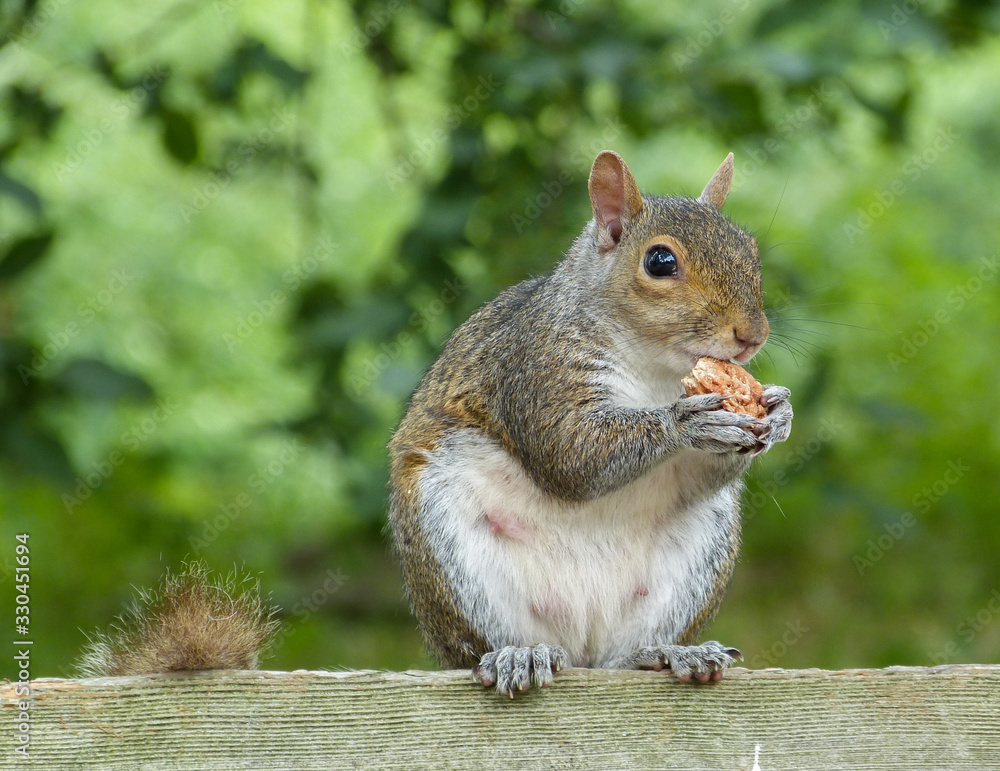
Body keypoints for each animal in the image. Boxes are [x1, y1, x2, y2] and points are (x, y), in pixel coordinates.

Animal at [388, 150, 793, 696]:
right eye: (660, 261)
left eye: (749, 248)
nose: (752, 335)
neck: (656, 369)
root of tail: (581, 648)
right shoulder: (538, 369)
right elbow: (572, 453)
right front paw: (685, 422)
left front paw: (778, 414)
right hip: (448, 551)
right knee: (478, 647)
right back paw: (517, 654)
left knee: (625, 656)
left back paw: (668, 653)